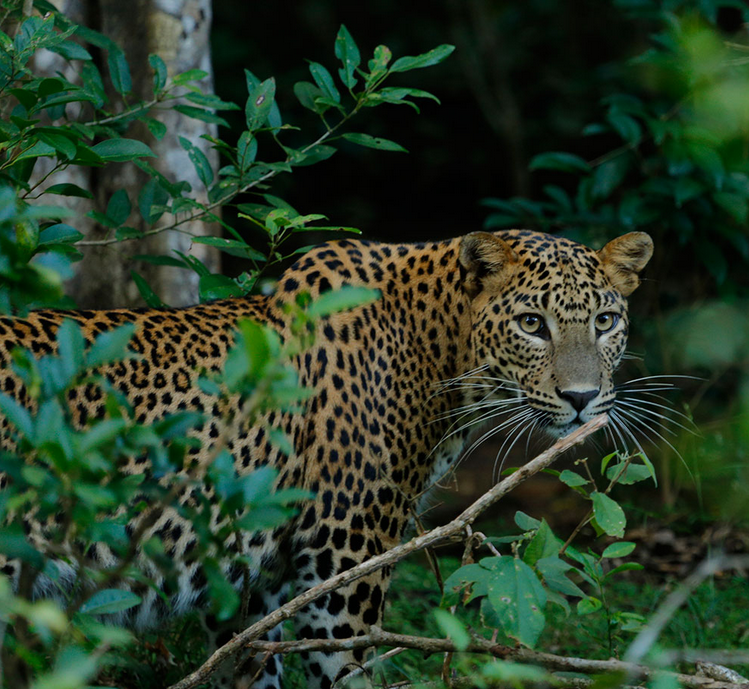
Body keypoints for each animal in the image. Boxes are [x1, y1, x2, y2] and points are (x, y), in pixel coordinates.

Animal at [0, 229, 653, 689]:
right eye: (531, 324)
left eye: (605, 321)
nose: (582, 398)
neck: (440, 351)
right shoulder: (344, 561)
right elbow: (346, 671)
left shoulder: (252, 583)